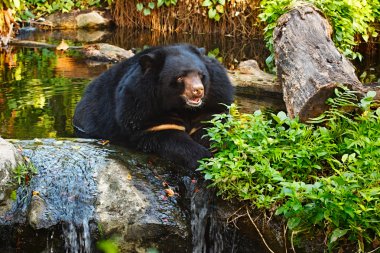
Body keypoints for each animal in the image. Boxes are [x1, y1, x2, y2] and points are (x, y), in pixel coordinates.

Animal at [73, 44, 235, 169]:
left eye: (201, 75)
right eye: (180, 77)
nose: (198, 90)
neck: (182, 107)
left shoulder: (215, 96)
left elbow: (210, 124)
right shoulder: (141, 105)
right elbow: (166, 135)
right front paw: (202, 157)